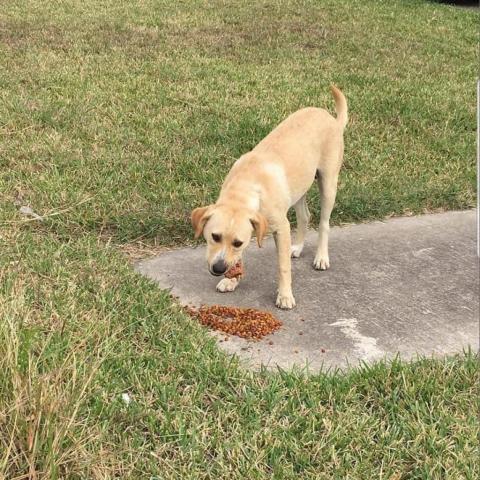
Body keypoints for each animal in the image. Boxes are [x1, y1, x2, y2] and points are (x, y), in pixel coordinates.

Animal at [192, 84, 348, 310]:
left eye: (237, 242)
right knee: (305, 216)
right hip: (298, 190)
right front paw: (231, 280)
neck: (245, 187)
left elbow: (283, 267)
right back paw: (297, 247)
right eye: (215, 236)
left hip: (328, 184)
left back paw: (321, 257)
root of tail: (332, 119)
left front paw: (284, 295)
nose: (219, 269)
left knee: (323, 223)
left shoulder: (281, 228)